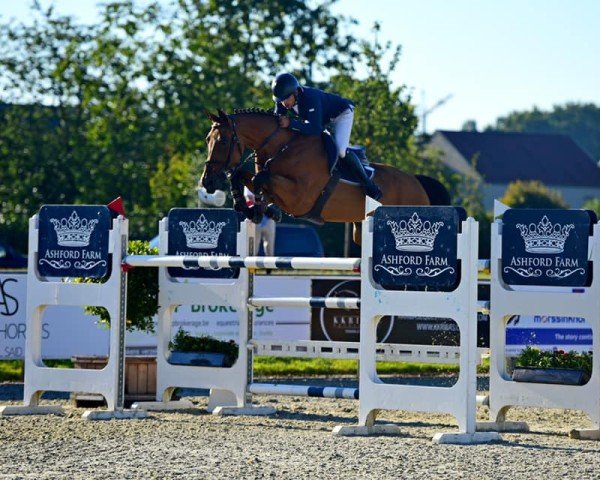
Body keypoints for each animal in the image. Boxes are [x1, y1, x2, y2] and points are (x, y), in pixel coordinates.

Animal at [202, 109, 450, 244]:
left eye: (222, 141)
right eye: (207, 139)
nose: (207, 182)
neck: (283, 146)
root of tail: (417, 182)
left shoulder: (300, 197)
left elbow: (260, 179)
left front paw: (265, 209)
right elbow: (244, 176)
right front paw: (248, 208)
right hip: (360, 231)